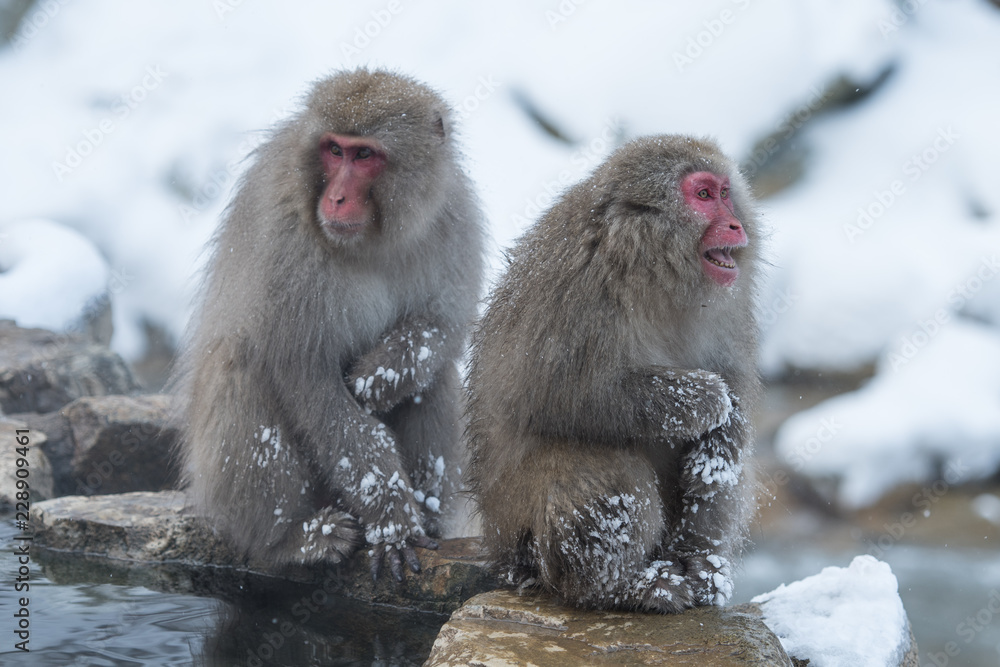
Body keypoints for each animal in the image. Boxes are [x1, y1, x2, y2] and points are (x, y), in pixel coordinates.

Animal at [172, 69, 485, 581]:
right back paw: (291, 539)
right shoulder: (287, 241)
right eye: (334, 150)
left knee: (434, 376)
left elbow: (441, 325)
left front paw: (381, 377)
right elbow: (306, 376)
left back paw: (430, 514)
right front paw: (391, 519)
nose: (336, 197)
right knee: (241, 363)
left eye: (365, 155)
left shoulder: (452, 218)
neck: (372, 241)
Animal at [466, 135, 761, 613]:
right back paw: (623, 586)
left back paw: (698, 567)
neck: (652, 269)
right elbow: (565, 397)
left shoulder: (729, 305)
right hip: (522, 534)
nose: (735, 225)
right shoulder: (577, 285)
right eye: (702, 195)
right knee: (598, 466)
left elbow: (732, 401)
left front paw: (720, 435)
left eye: (725, 192)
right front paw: (705, 399)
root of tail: (498, 546)